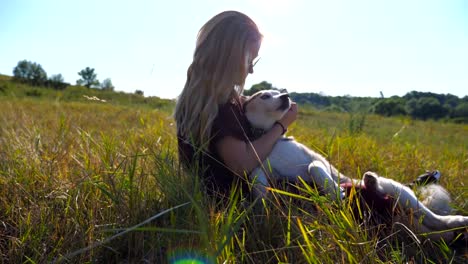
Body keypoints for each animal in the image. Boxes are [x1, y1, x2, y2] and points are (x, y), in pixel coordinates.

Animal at [243, 90, 468, 241]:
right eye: (265, 95)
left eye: (279, 91)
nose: (286, 95)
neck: (270, 138)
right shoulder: (259, 168)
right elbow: (257, 182)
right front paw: (260, 208)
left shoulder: (315, 161)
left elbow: (314, 168)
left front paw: (336, 193)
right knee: (433, 226)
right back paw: (370, 181)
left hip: (404, 195)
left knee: (436, 219)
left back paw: (459, 220)